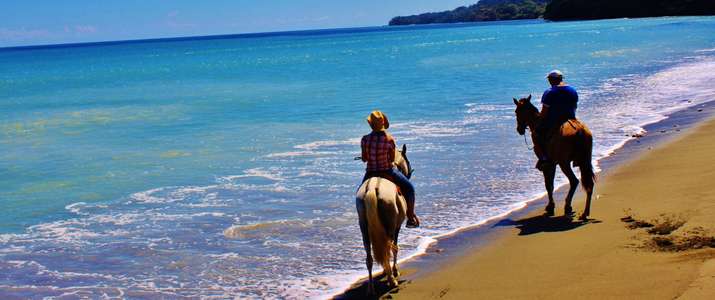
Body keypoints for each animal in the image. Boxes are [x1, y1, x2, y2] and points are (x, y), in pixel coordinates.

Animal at [356, 144, 414, 294]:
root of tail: (372, 189)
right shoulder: (397, 226)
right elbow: (395, 247)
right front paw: (394, 271)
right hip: (390, 225)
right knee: (389, 249)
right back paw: (392, 280)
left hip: (364, 227)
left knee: (369, 256)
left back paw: (371, 288)